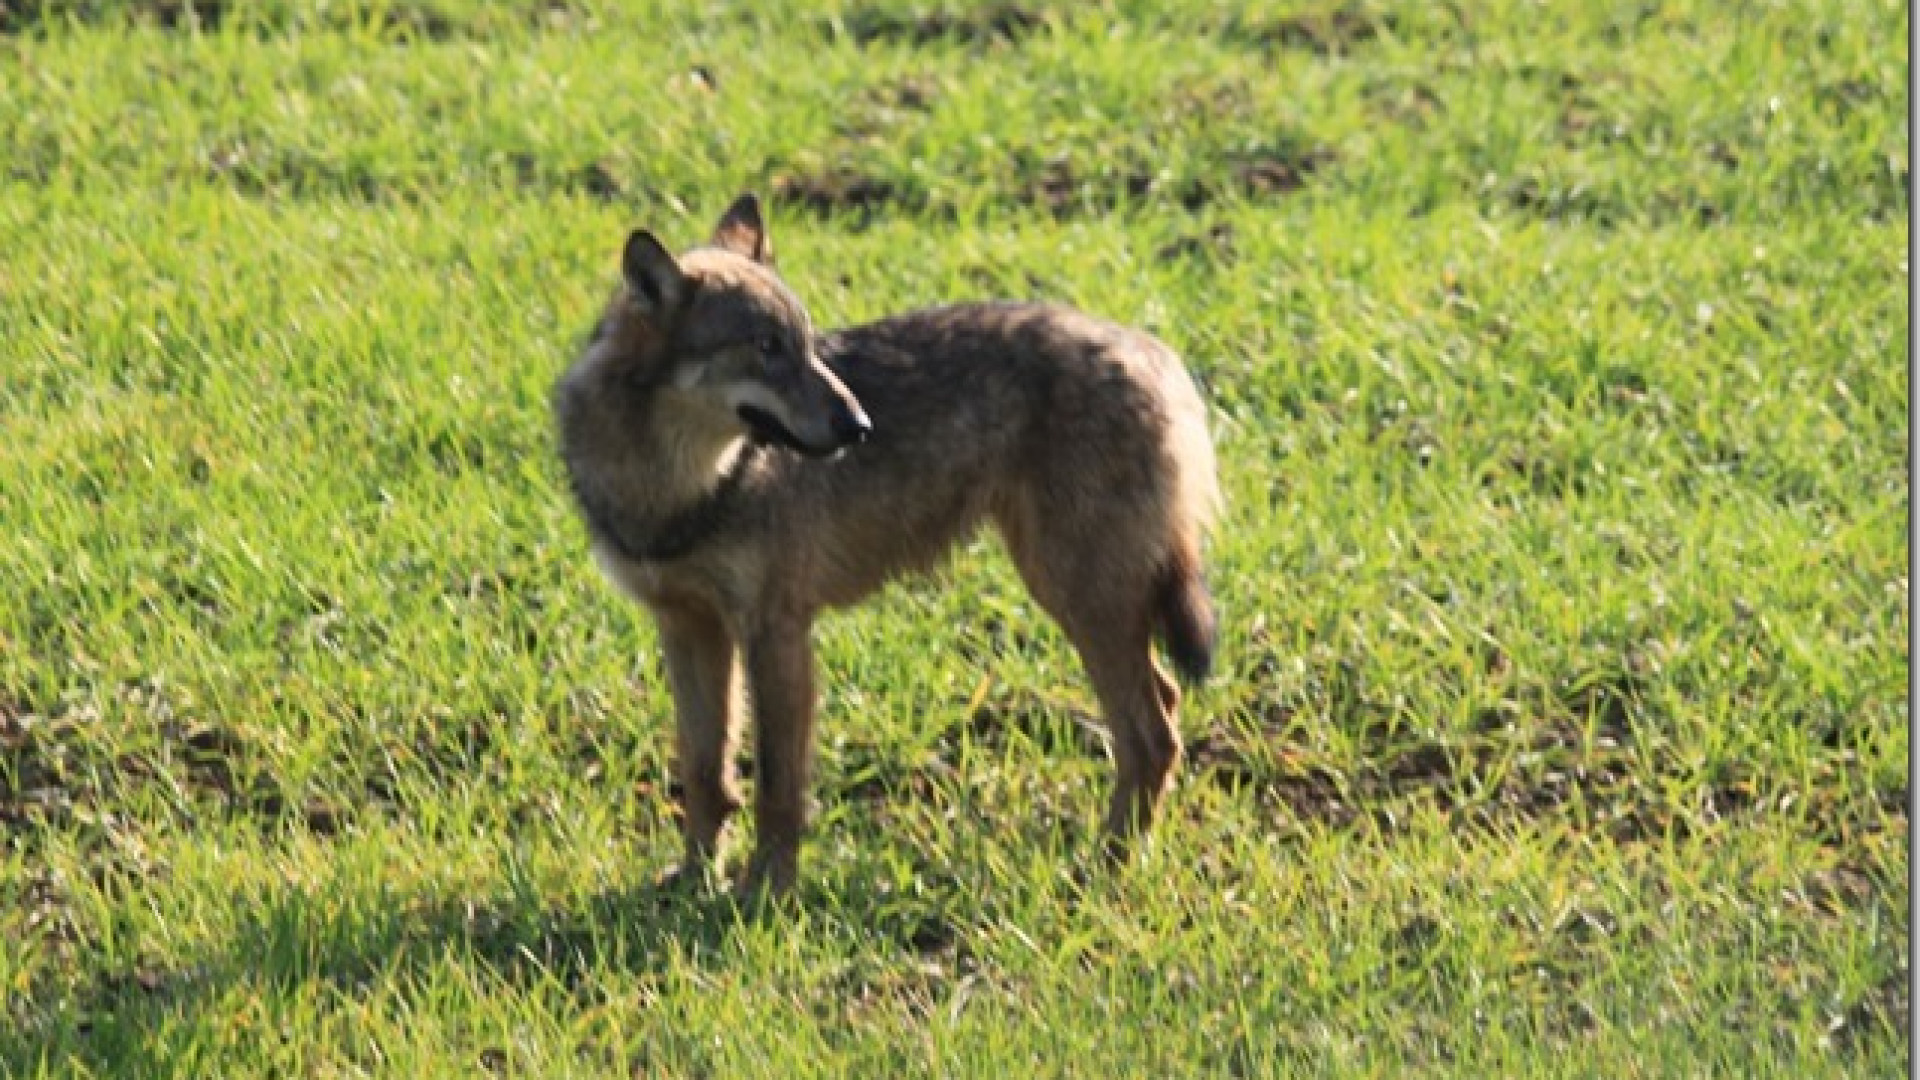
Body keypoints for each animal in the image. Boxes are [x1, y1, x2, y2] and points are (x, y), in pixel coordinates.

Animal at [554, 194, 1221, 895]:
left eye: (808, 346)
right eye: (766, 348)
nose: (860, 426)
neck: (680, 489)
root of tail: (1156, 354)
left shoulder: (777, 632)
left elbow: (776, 788)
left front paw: (765, 892)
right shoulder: (686, 626)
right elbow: (706, 773)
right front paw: (693, 879)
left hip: (1076, 597)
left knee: (1151, 735)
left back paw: (1102, 870)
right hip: (1083, 599)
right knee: (1165, 706)